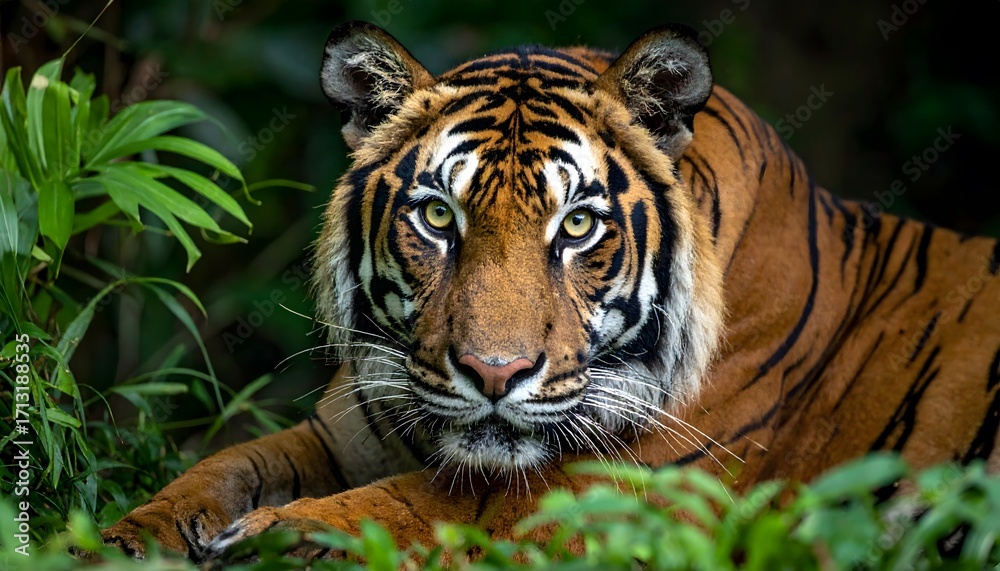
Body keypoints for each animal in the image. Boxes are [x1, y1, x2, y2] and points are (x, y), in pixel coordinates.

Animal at [100, 21, 1000, 561]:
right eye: (438, 215)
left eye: (577, 226)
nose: (494, 374)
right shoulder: (342, 429)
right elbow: (219, 468)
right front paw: (117, 541)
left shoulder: (614, 496)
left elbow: (419, 505)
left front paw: (280, 539)